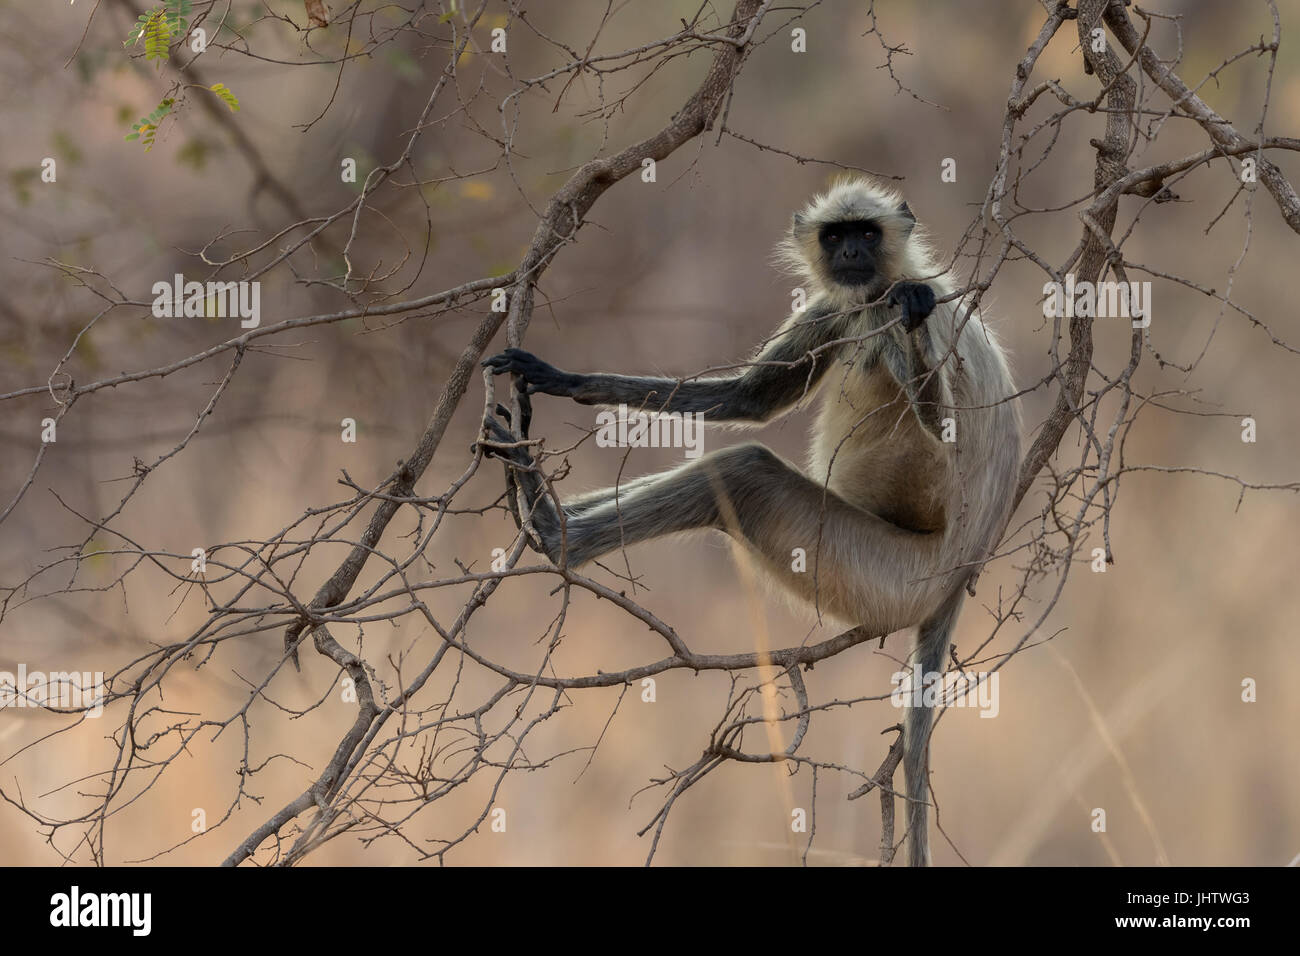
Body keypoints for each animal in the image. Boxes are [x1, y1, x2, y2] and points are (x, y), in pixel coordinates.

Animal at [483, 178, 1019, 868]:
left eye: (866, 233)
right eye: (837, 235)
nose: (850, 253)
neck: (880, 290)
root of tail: (960, 572)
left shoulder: (893, 311)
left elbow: (937, 416)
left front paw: (918, 313)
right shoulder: (832, 308)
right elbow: (750, 398)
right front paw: (556, 377)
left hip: (878, 571)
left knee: (744, 471)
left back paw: (555, 535)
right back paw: (551, 508)